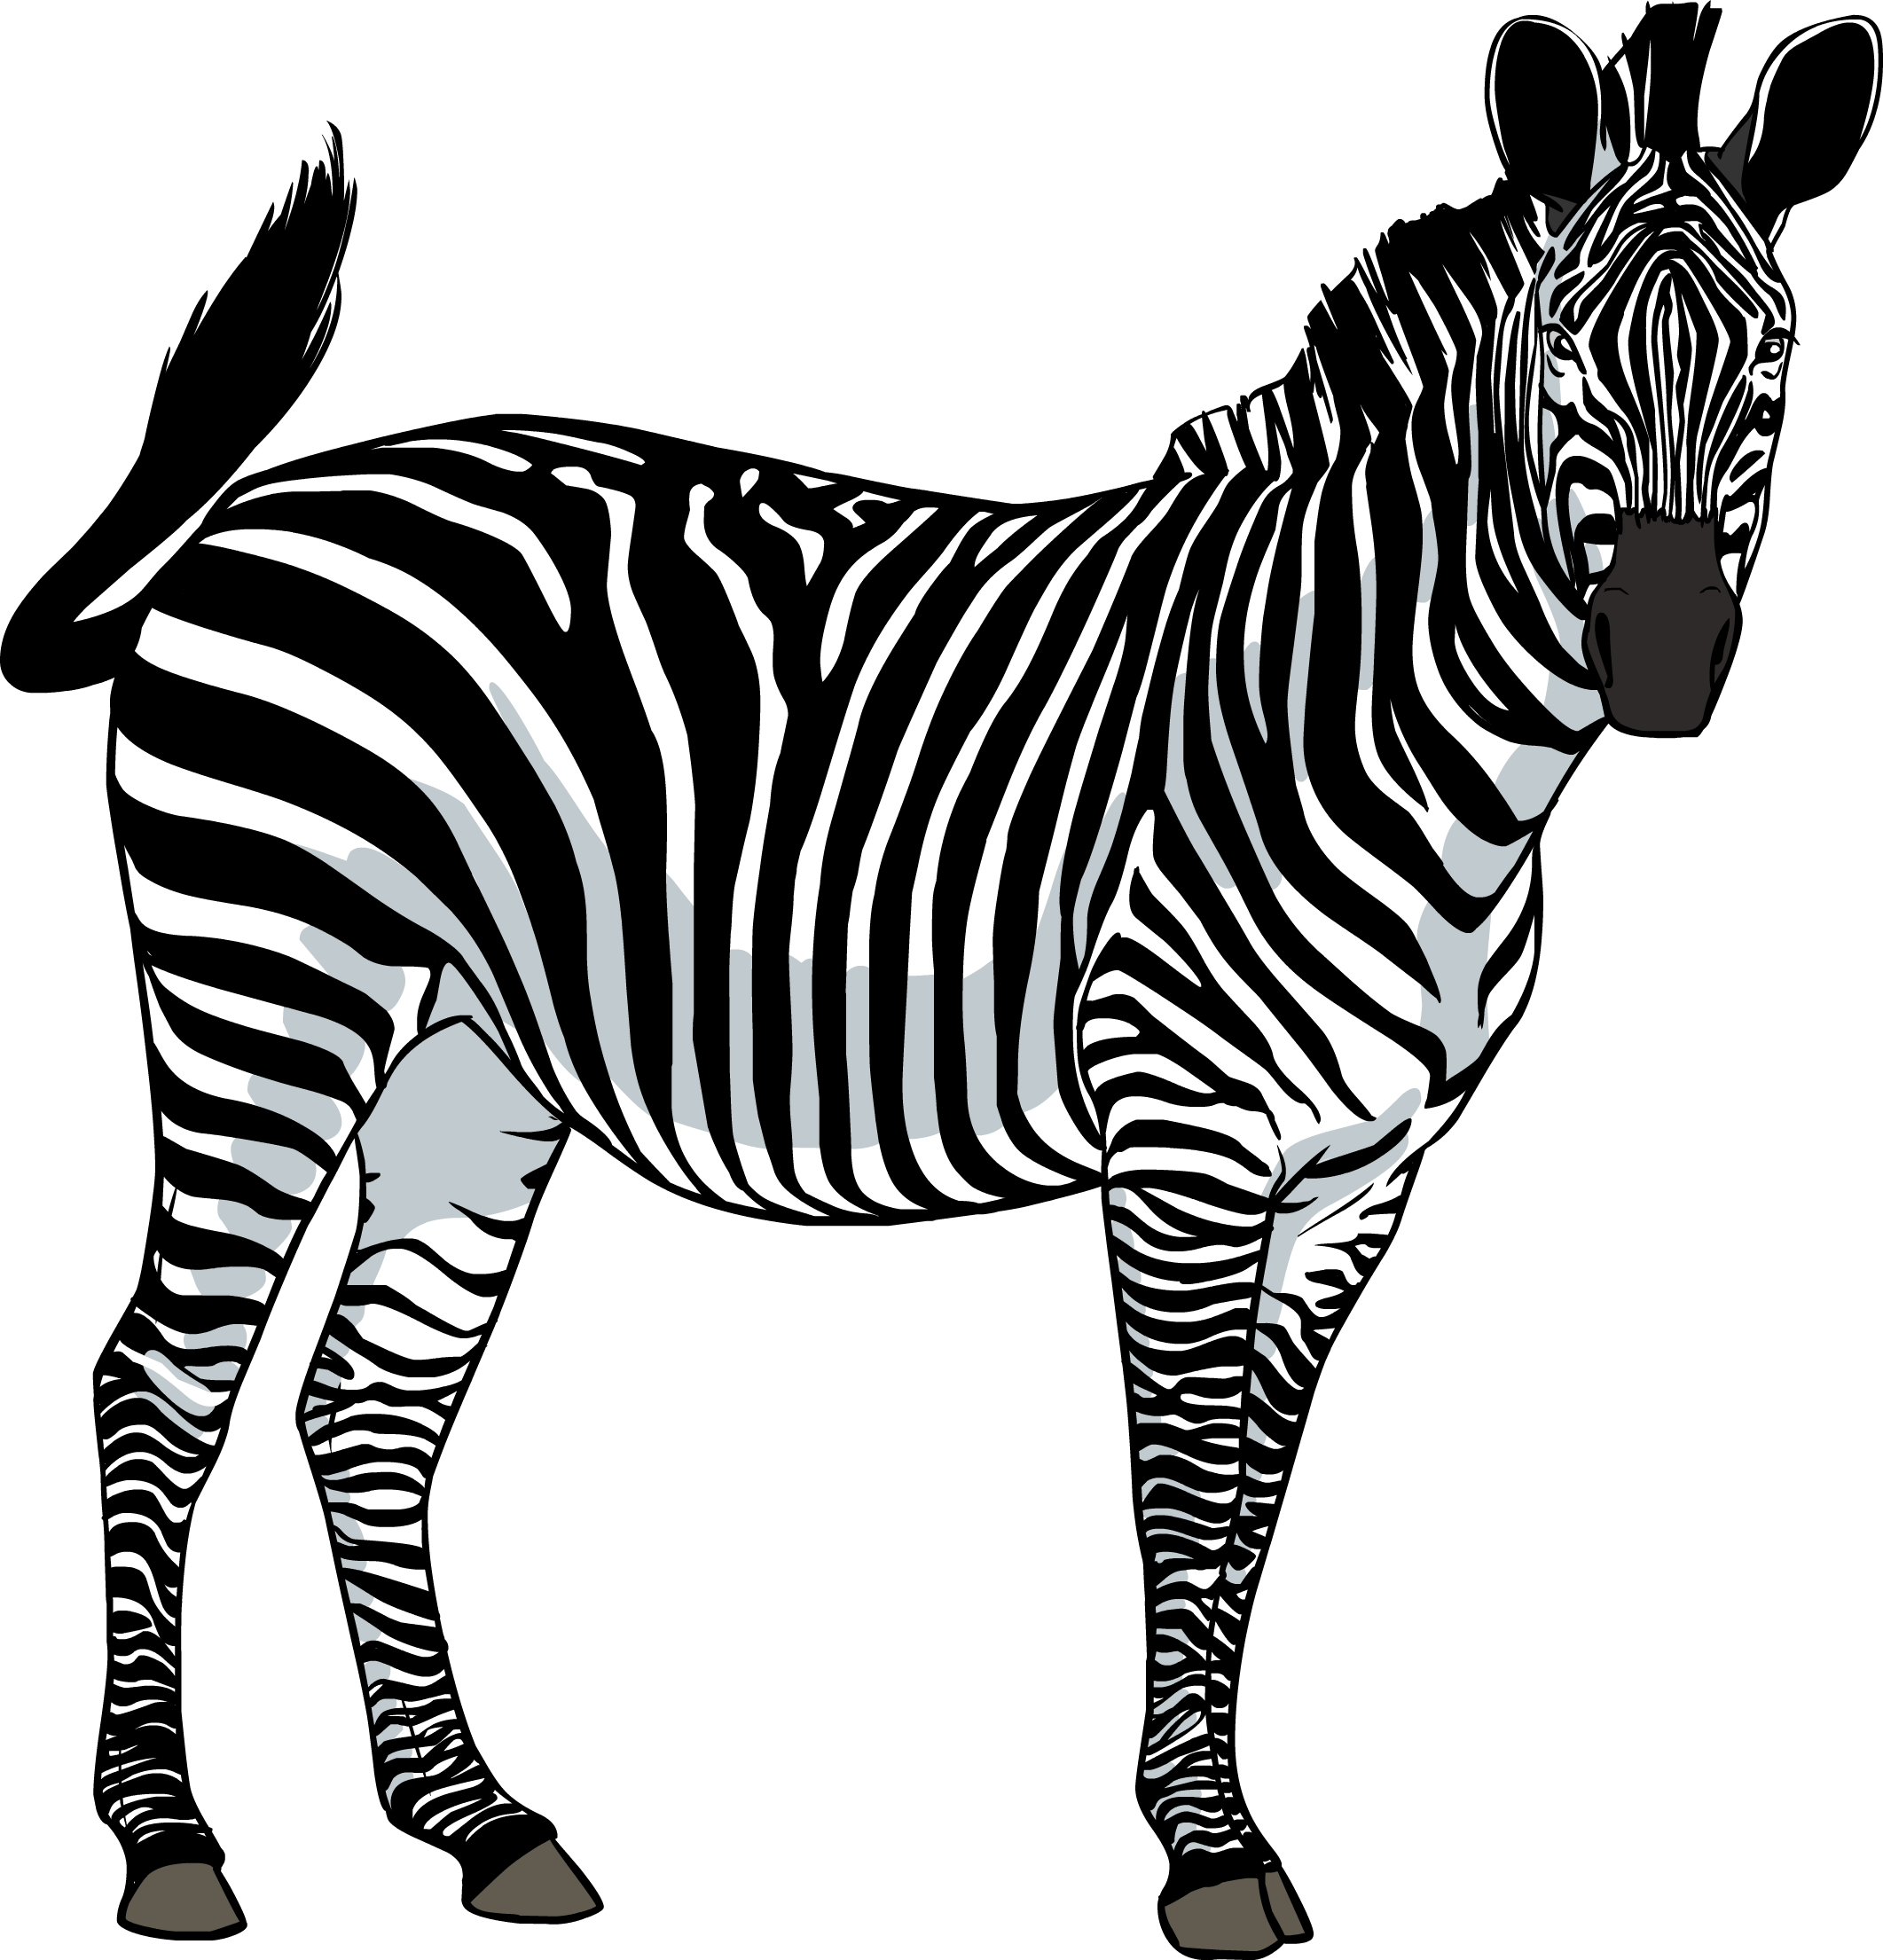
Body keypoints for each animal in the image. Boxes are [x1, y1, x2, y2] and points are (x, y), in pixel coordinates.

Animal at [102, 18, 1872, 1942]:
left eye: (1767, 354)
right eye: (1563, 351)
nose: (1657, 659)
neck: (1393, 731)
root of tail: (264, 507)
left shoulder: (1357, 1176)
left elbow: (1253, 1502)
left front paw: (1230, 1823)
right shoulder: (1185, 1127)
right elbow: (1185, 1483)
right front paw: (1199, 1857)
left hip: (463, 1067)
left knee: (367, 1408)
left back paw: (479, 1827)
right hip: (265, 998)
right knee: (162, 1389)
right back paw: (163, 1841)